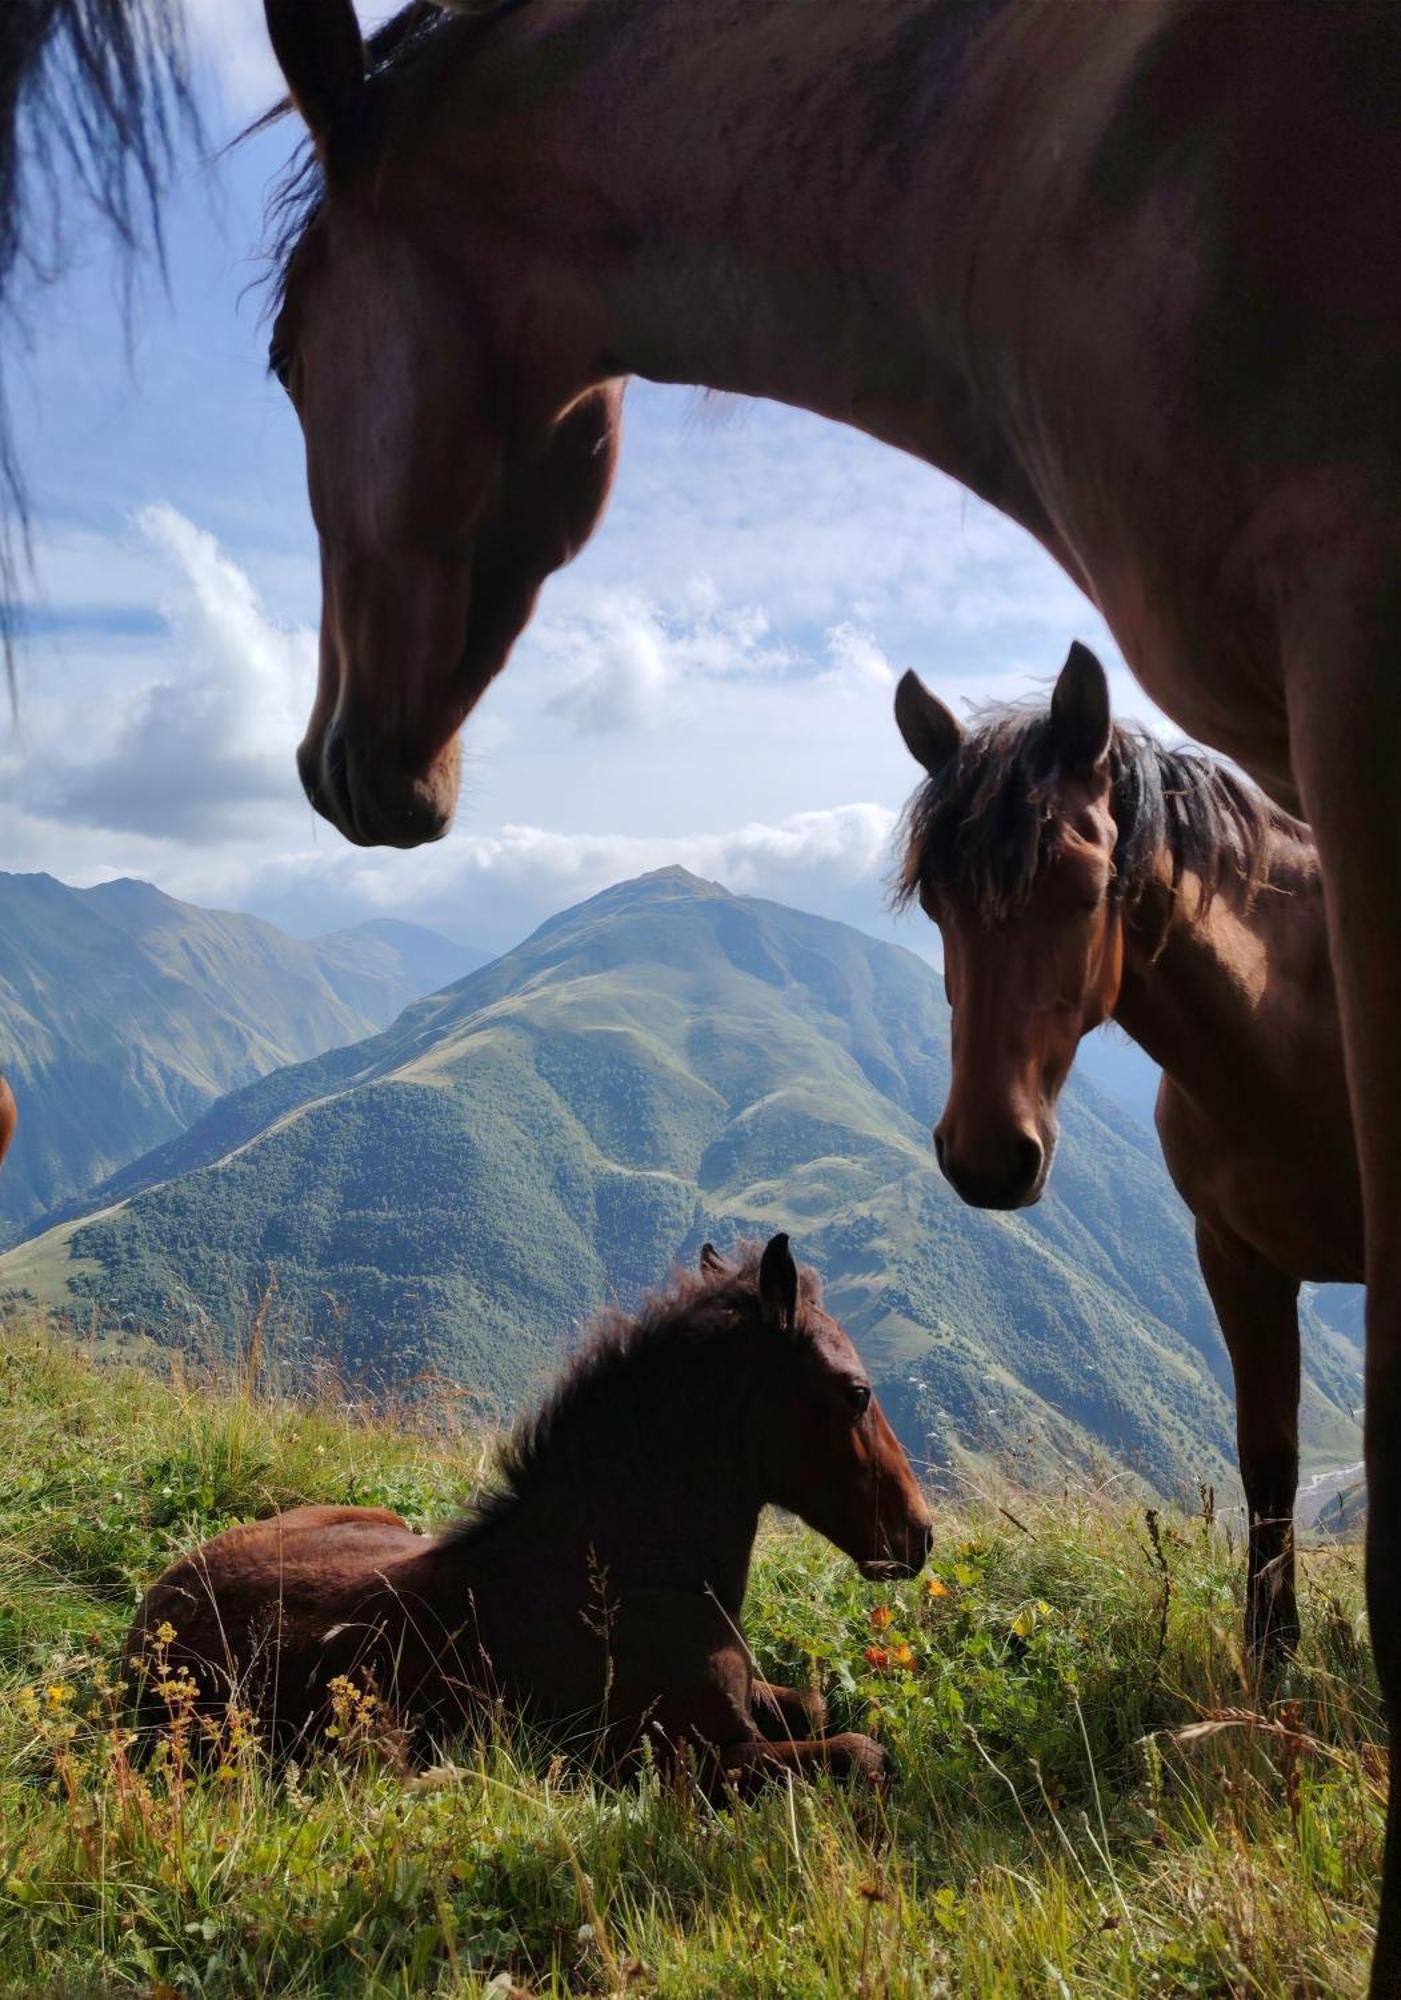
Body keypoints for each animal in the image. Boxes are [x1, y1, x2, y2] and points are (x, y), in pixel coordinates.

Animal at [129, 1232, 928, 1800]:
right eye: (855, 1392)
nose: (917, 1536)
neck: (628, 1578)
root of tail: (153, 1612)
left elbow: (816, 1705)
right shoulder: (683, 1760)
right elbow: (862, 1753)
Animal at [892, 640, 1360, 1656]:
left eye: (1084, 888)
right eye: (936, 900)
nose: (986, 1158)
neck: (1295, 1024)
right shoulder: (1235, 1260)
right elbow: (1267, 1464)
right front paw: (1269, 1662)